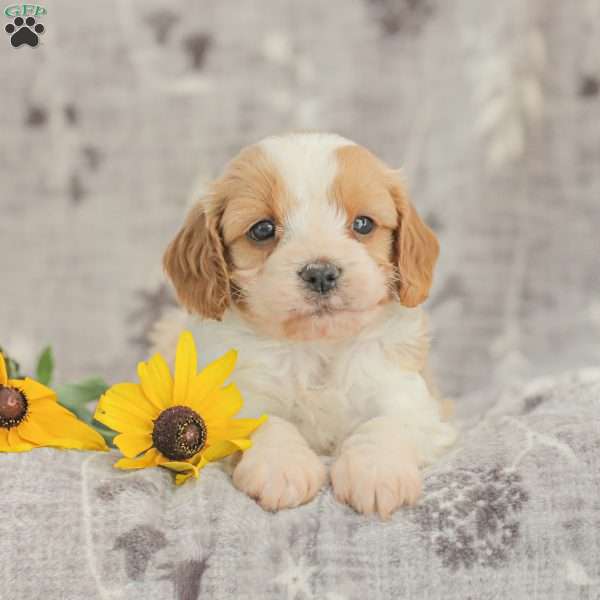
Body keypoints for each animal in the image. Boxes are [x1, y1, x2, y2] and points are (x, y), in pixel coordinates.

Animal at [157, 134, 458, 516]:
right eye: (263, 230)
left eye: (363, 224)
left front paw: (376, 471)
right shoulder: (233, 402)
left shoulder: (414, 399)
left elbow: (388, 422)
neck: (317, 347)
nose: (321, 273)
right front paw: (281, 467)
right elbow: (266, 423)